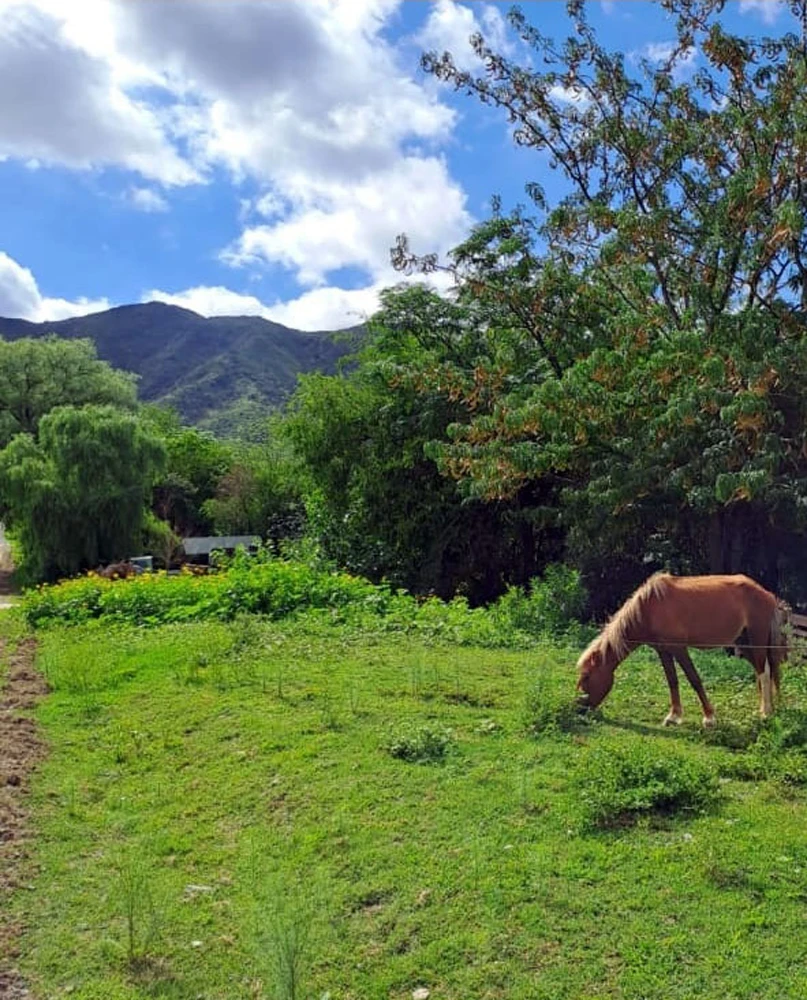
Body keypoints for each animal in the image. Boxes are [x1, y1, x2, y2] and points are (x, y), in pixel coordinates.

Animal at [576, 573, 788, 726]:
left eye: (587, 676)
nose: (581, 708)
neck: (649, 608)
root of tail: (767, 594)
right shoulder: (663, 651)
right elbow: (672, 680)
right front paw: (674, 716)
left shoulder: (679, 649)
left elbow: (694, 678)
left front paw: (709, 718)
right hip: (744, 644)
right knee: (763, 672)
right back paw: (764, 708)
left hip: (757, 640)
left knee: (763, 672)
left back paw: (766, 713)